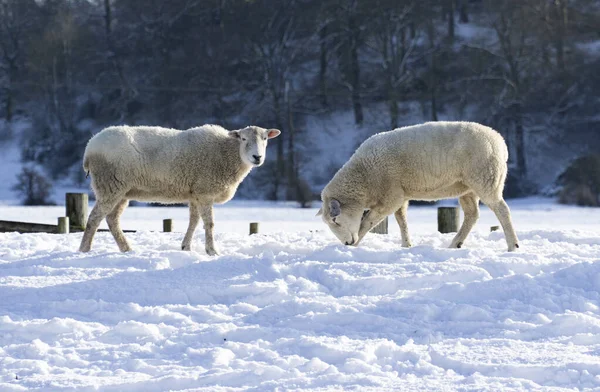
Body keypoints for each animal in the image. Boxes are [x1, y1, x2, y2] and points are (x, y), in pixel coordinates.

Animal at [79, 124, 282, 256]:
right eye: (243, 138)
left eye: (265, 139)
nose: (257, 157)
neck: (227, 153)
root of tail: (89, 147)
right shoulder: (205, 192)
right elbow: (209, 224)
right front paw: (212, 251)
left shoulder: (195, 194)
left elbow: (193, 222)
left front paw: (186, 247)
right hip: (109, 185)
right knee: (94, 218)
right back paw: (84, 249)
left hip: (121, 190)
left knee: (112, 220)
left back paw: (126, 249)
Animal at [318, 121, 520, 253]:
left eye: (335, 220)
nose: (346, 243)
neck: (364, 177)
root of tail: (499, 140)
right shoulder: (400, 194)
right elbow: (401, 220)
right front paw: (406, 244)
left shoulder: (390, 197)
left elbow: (368, 221)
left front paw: (357, 241)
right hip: (467, 187)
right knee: (472, 215)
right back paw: (455, 244)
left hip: (486, 179)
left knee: (502, 210)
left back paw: (513, 246)